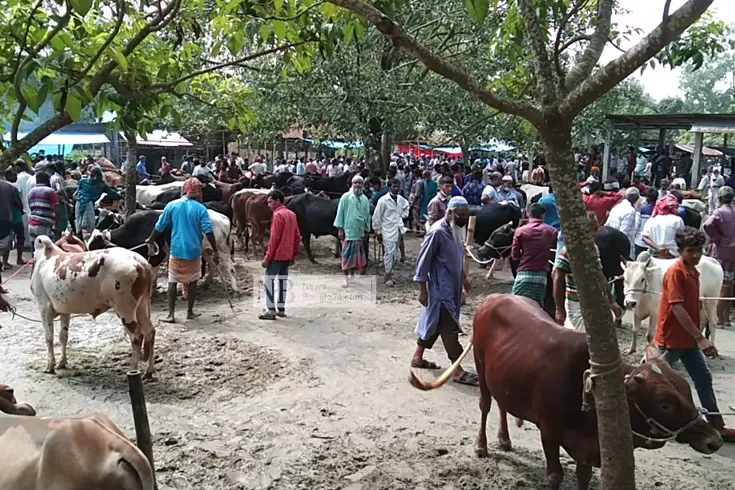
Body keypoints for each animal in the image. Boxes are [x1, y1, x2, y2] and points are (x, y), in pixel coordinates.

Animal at [30, 235, 157, 378]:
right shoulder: (64, 310)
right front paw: (62, 362)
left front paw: (50, 366)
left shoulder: (44, 308)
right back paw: (149, 371)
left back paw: (133, 370)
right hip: (142, 306)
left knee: (137, 336)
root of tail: (141, 263)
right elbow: (63, 336)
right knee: (150, 332)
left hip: (125, 309)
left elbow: (49, 338)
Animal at [408, 292, 724, 490]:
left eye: (687, 391)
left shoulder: (588, 447)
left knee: (503, 404)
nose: (714, 440)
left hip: (505, 375)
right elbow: (555, 476)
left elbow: (583, 477)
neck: (589, 390)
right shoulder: (550, 431)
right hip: (482, 368)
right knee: (486, 405)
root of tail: (493, 299)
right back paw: (482, 445)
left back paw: (505, 439)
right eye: (665, 403)